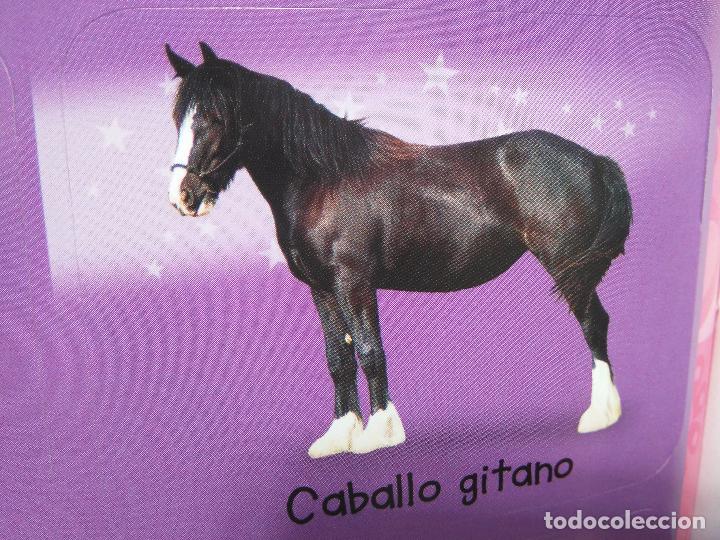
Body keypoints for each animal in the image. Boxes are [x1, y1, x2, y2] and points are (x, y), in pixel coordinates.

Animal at [164, 42, 632, 458]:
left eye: (214, 116)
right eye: (178, 119)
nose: (182, 197)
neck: (322, 178)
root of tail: (594, 159)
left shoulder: (354, 282)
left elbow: (370, 351)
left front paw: (380, 432)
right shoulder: (322, 289)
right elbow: (338, 359)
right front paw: (339, 436)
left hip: (568, 268)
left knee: (594, 324)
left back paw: (599, 414)